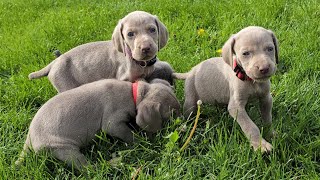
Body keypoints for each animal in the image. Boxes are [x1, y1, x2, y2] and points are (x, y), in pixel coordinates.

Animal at [15, 79, 180, 170]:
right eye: (171, 115)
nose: (184, 120)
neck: (133, 92)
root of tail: (29, 140)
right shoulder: (112, 122)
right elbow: (128, 134)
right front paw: (142, 142)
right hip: (63, 149)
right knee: (88, 168)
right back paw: (113, 163)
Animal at [28, 10, 171, 93]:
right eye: (130, 34)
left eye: (152, 30)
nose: (146, 48)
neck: (139, 62)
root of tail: (54, 63)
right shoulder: (124, 79)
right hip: (65, 84)